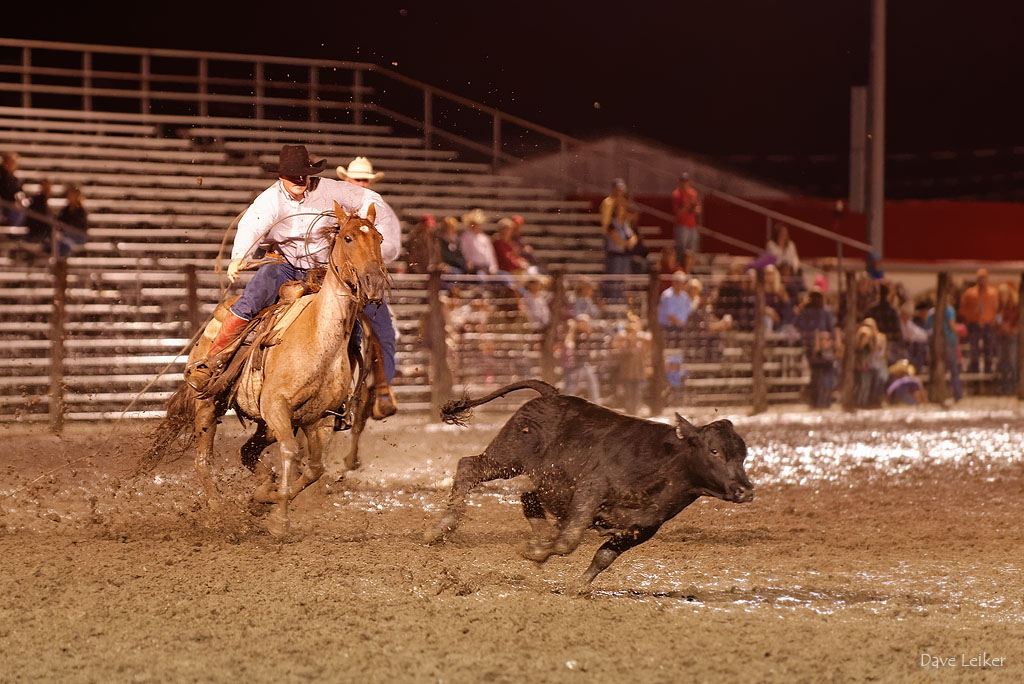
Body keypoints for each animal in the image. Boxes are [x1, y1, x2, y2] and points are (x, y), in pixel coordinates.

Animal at [142, 200, 385, 536]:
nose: (374, 284)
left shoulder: (320, 420)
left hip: (265, 424)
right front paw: (279, 520)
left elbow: (314, 469)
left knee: (247, 452)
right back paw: (217, 512)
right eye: (348, 238)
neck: (317, 338)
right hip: (208, 405)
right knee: (203, 462)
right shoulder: (277, 407)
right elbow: (291, 453)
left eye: (379, 239)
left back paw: (260, 490)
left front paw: (264, 499)